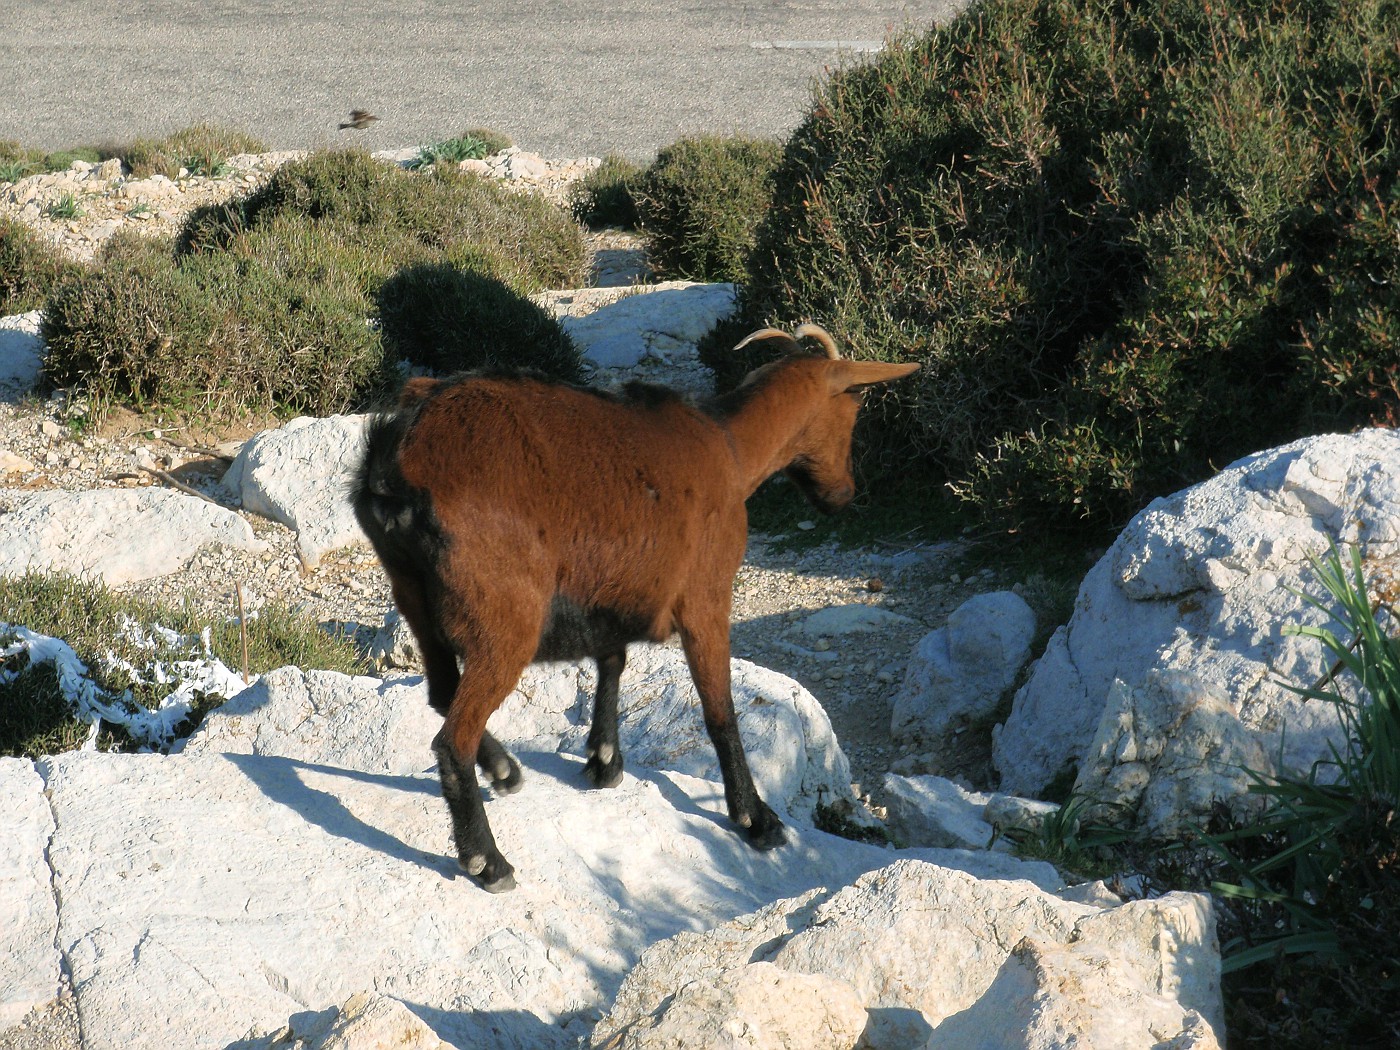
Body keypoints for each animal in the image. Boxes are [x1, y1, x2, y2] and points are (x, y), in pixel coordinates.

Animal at [352, 324, 918, 890]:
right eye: (853, 407)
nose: (843, 495)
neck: (730, 448)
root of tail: (399, 462)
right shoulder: (706, 595)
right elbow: (720, 709)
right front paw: (755, 818)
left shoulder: (612, 591)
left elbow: (613, 660)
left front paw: (604, 760)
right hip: (506, 619)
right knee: (453, 739)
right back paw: (487, 860)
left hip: (412, 592)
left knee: (442, 691)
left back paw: (505, 770)